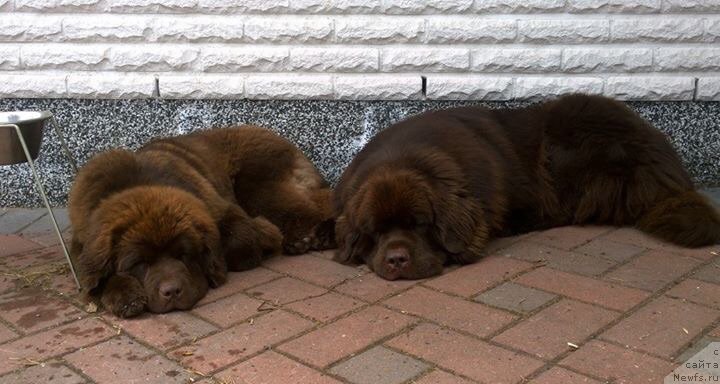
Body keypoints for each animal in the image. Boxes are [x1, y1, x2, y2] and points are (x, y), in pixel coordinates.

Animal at [70, 126, 334, 318]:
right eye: (140, 263)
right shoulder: (82, 246)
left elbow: (241, 243)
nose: (171, 291)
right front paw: (125, 295)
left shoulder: (222, 209)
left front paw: (263, 237)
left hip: (257, 185)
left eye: (183, 255)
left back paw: (309, 237)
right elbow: (97, 279)